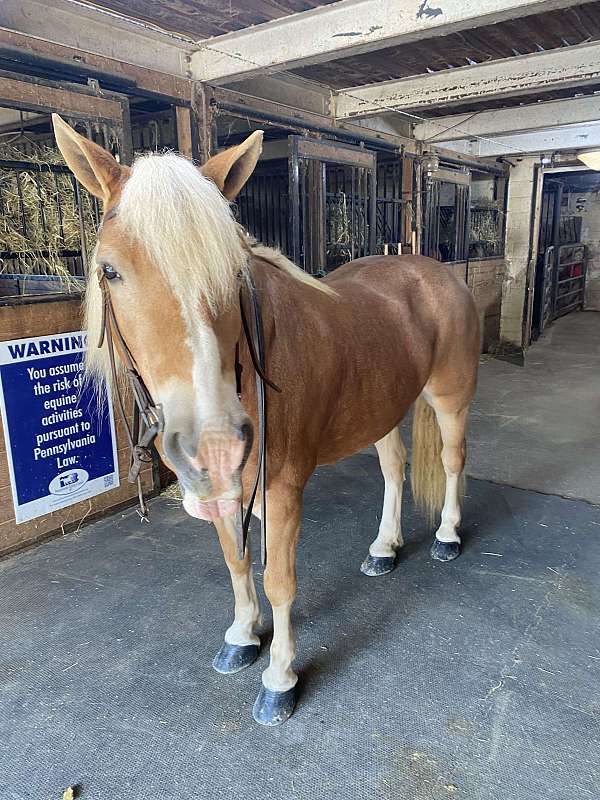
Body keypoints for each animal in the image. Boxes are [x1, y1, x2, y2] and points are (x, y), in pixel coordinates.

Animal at [54, 114, 480, 724]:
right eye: (108, 270)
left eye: (235, 272)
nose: (210, 442)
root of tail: (432, 269)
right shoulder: (221, 489)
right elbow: (236, 561)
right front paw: (242, 635)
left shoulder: (281, 488)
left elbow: (278, 580)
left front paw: (280, 677)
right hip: (380, 410)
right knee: (394, 468)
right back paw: (384, 548)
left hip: (449, 399)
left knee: (450, 461)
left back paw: (446, 535)